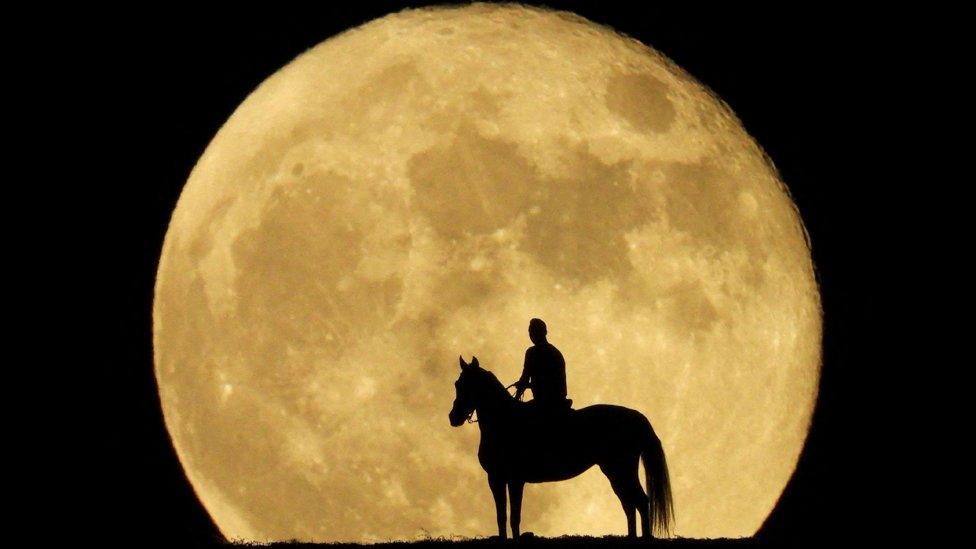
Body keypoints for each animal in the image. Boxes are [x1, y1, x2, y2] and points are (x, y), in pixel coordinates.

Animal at [448, 354, 672, 536]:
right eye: (457, 384)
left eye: (467, 385)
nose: (453, 417)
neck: (503, 420)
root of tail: (636, 416)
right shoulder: (497, 479)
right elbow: (502, 517)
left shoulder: (513, 479)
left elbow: (513, 517)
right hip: (614, 472)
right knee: (629, 504)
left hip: (621, 469)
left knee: (640, 501)